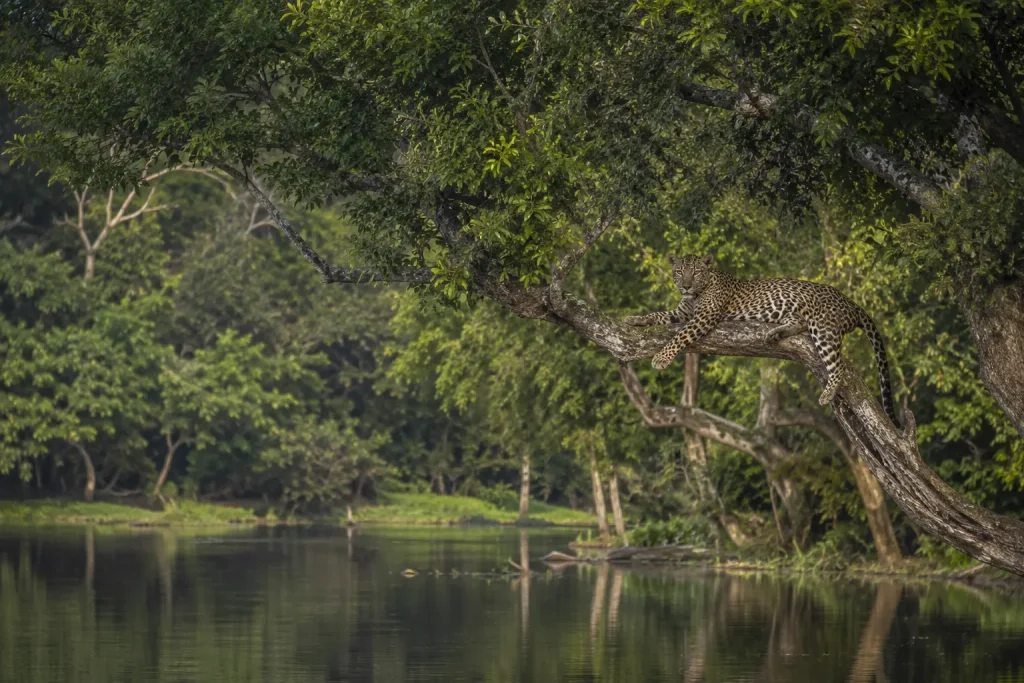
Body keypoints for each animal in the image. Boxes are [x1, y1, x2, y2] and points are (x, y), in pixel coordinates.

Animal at [623, 253, 897, 424]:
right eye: (680, 271)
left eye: (697, 272)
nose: (686, 286)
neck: (698, 293)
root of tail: (850, 303)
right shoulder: (680, 314)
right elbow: (657, 315)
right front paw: (634, 319)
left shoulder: (705, 317)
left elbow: (680, 336)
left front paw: (661, 358)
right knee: (799, 324)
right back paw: (775, 333)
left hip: (824, 328)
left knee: (837, 364)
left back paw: (827, 394)